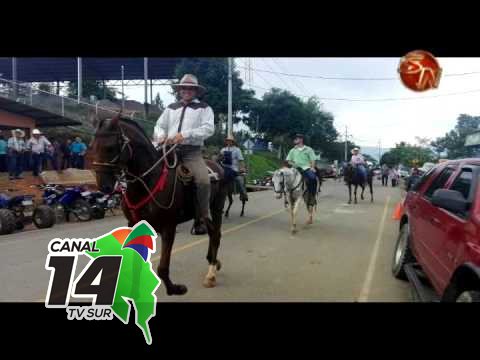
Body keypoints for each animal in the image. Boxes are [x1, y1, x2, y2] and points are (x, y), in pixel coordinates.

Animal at [92, 114, 231, 296]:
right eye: (93, 146)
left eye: (110, 148)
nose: (104, 186)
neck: (148, 182)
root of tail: (218, 167)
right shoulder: (135, 224)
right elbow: (136, 262)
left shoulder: (168, 227)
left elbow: (163, 268)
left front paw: (174, 288)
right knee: (211, 232)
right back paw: (213, 262)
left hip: (215, 207)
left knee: (215, 235)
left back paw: (211, 274)